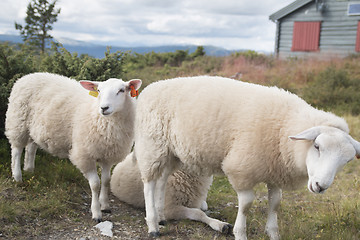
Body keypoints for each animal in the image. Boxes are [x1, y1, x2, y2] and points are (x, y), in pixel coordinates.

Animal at [5, 72, 142, 222]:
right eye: (99, 90)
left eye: (121, 90)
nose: (104, 108)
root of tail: (28, 76)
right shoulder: (84, 155)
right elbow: (95, 184)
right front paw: (96, 212)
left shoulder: (108, 156)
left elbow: (106, 181)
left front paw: (105, 205)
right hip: (18, 121)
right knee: (16, 150)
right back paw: (17, 177)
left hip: (34, 128)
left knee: (31, 147)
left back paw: (29, 170)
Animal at [133, 76, 360, 240]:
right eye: (317, 146)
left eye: (347, 161)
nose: (320, 186)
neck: (283, 129)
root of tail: (151, 87)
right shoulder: (241, 169)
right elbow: (247, 204)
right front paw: (240, 233)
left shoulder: (274, 171)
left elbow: (275, 203)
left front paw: (273, 232)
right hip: (152, 145)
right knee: (149, 183)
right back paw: (152, 224)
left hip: (171, 152)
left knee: (162, 180)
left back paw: (161, 216)